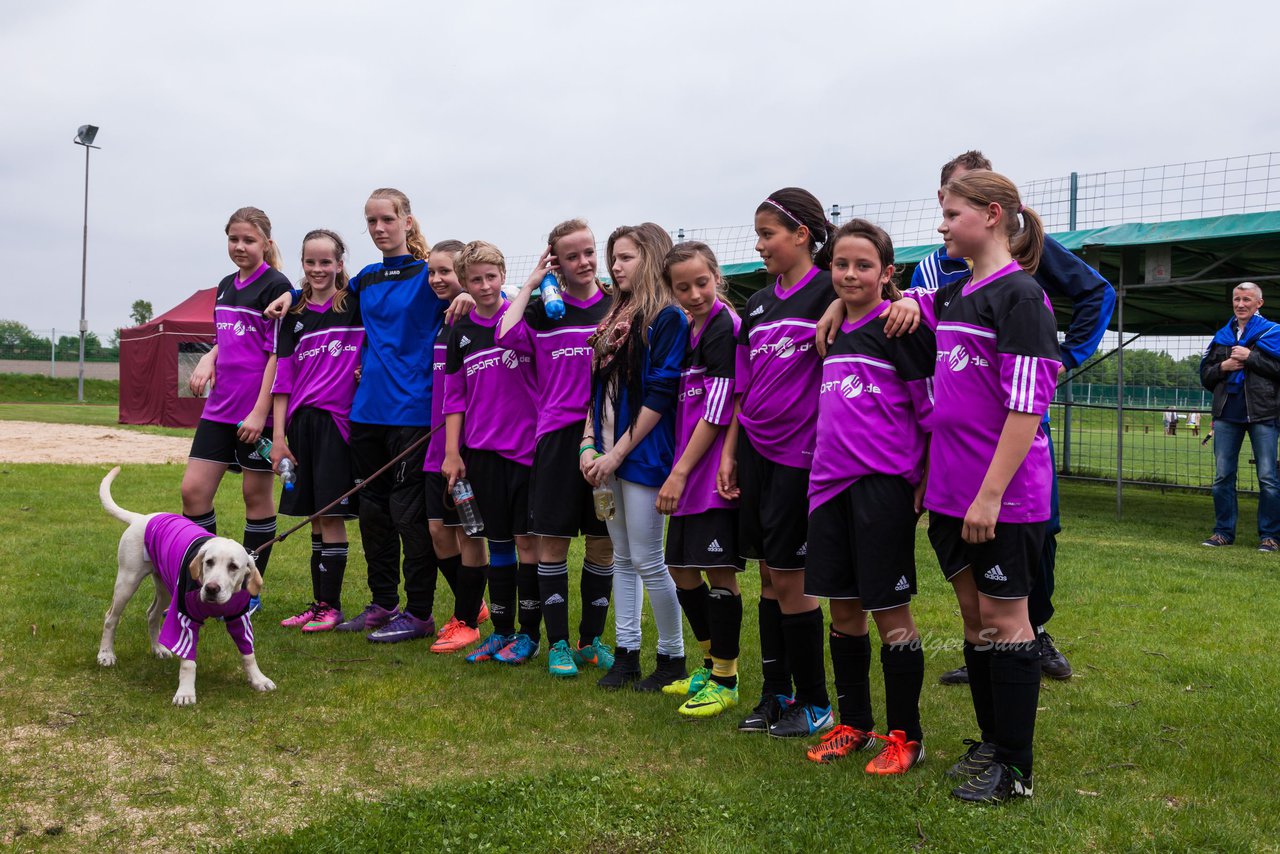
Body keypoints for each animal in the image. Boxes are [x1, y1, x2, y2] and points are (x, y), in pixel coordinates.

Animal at [99, 468, 277, 706]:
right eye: (209, 562)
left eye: (233, 567)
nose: (211, 589)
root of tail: (142, 518)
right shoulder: (184, 618)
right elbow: (188, 663)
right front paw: (185, 692)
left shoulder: (239, 618)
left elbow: (248, 653)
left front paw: (258, 679)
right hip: (128, 581)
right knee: (111, 617)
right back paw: (106, 654)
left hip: (166, 588)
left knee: (152, 614)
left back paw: (158, 648)